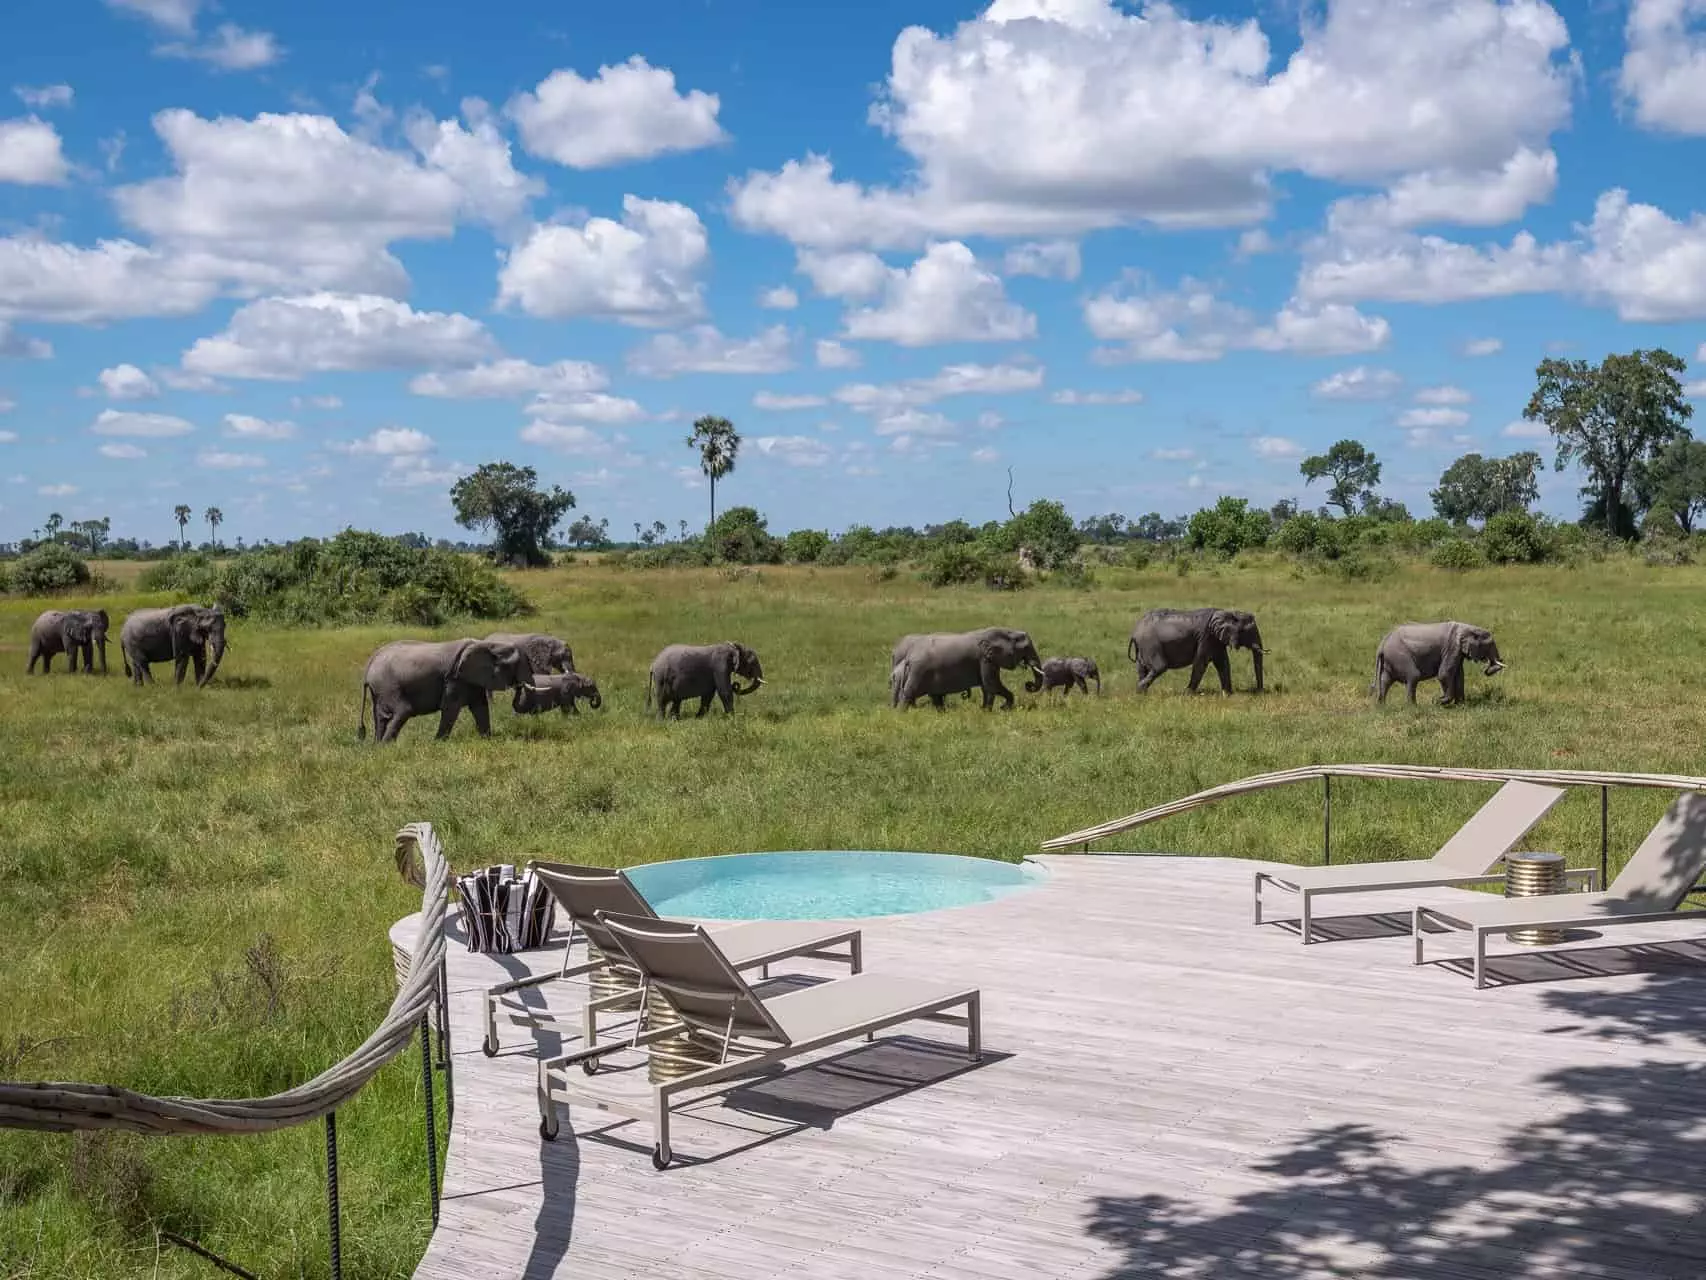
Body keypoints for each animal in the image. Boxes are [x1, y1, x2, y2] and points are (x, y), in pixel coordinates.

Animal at [351, 638, 525, 747]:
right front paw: (437, 744)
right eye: (516, 666)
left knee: (381, 716)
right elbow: (450, 709)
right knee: (403, 710)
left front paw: (487, 740)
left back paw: (377, 746)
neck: (487, 644)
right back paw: (386, 747)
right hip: (389, 686)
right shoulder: (454, 679)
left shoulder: (470, 679)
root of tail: (370, 663)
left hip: (379, 690)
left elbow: (480, 707)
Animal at [893, 624, 1037, 713]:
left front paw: (986, 711)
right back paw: (902, 715)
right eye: (1026, 648)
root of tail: (909, 657)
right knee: (909, 693)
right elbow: (991, 684)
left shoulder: (988, 660)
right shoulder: (985, 659)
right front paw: (1002, 709)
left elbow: (987, 687)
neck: (1005, 631)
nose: (1028, 684)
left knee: (934, 697)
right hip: (919, 671)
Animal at [1132, 607, 1269, 696]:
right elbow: (1201, 662)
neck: (1228, 612)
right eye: (1248, 632)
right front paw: (1188, 694)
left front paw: (1228, 694)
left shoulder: (1216, 639)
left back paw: (1142, 694)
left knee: (1142, 668)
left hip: (1143, 648)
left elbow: (1223, 663)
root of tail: (1134, 632)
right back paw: (1139, 690)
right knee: (1160, 667)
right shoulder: (1206, 636)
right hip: (1150, 644)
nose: (1259, 692)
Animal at [1371, 617, 1508, 706]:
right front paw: (1439, 701)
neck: (1467, 627)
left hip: (1390, 660)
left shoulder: (1457, 652)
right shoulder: (1452, 647)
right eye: (1489, 646)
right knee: (1413, 676)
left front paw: (1461, 705)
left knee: (1385, 681)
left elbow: (1459, 675)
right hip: (1400, 656)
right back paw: (1413, 707)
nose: (1486, 666)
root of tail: (1382, 644)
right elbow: (1444, 674)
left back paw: (1381, 706)